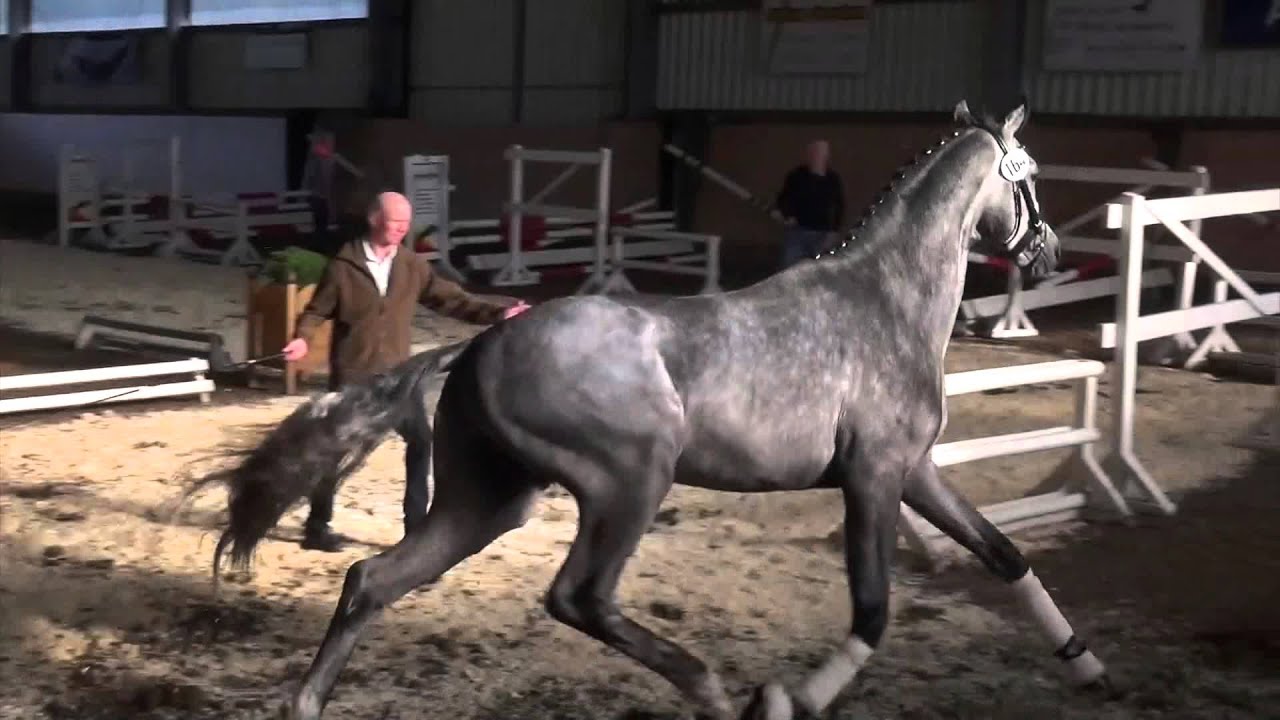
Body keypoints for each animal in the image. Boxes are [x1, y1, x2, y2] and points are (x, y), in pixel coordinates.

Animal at [246, 100, 1106, 719]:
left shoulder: (915, 471)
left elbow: (1004, 554)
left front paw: (1089, 666)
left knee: (373, 580)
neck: (885, 300)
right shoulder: (872, 477)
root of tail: (485, 343)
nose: (1048, 250)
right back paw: (709, 687)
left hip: (490, 498)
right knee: (578, 597)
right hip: (631, 479)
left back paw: (306, 702)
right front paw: (786, 699)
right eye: (1027, 176)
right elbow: (871, 613)